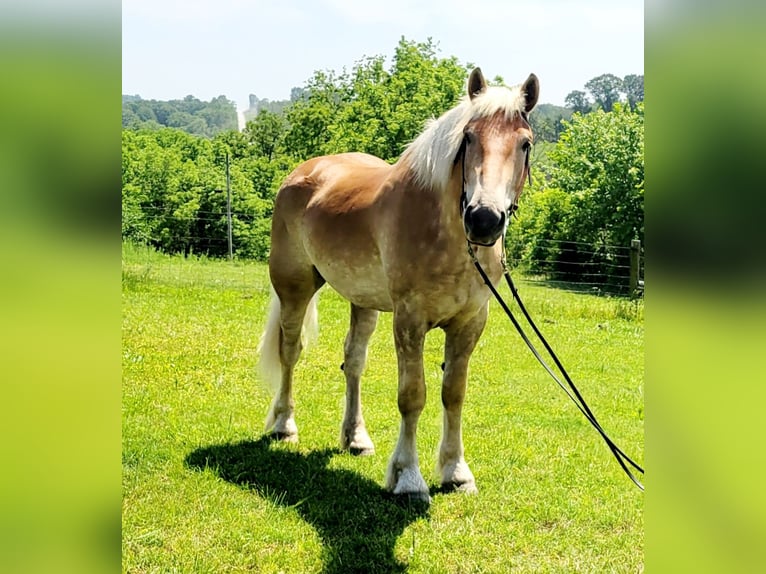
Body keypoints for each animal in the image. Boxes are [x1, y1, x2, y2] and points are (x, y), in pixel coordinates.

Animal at [258, 67, 540, 502]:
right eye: (468, 137)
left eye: (524, 144)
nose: (484, 219)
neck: (447, 234)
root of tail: (301, 173)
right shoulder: (409, 320)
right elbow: (412, 396)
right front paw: (408, 477)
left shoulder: (470, 322)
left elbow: (453, 393)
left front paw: (456, 471)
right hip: (295, 288)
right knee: (290, 351)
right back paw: (284, 426)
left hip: (364, 302)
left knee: (353, 360)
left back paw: (355, 438)